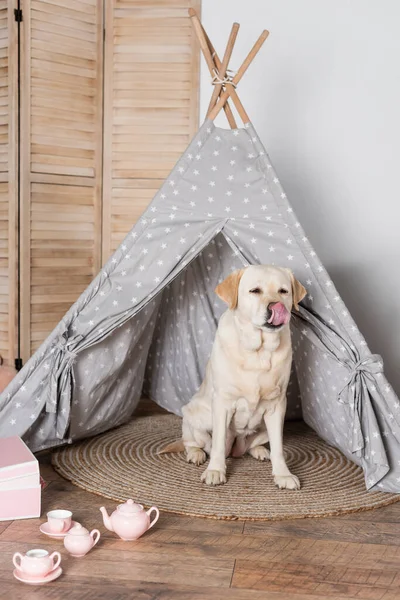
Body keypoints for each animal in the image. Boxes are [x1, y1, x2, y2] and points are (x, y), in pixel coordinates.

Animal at [162, 264, 306, 490]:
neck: (258, 351)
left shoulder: (277, 406)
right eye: (255, 291)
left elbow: (279, 448)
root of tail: (236, 449)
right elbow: (219, 444)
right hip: (194, 415)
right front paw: (215, 471)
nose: (276, 306)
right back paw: (196, 454)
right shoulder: (223, 403)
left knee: (254, 445)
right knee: (193, 441)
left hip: (264, 426)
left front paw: (283, 474)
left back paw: (260, 451)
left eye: (283, 291)